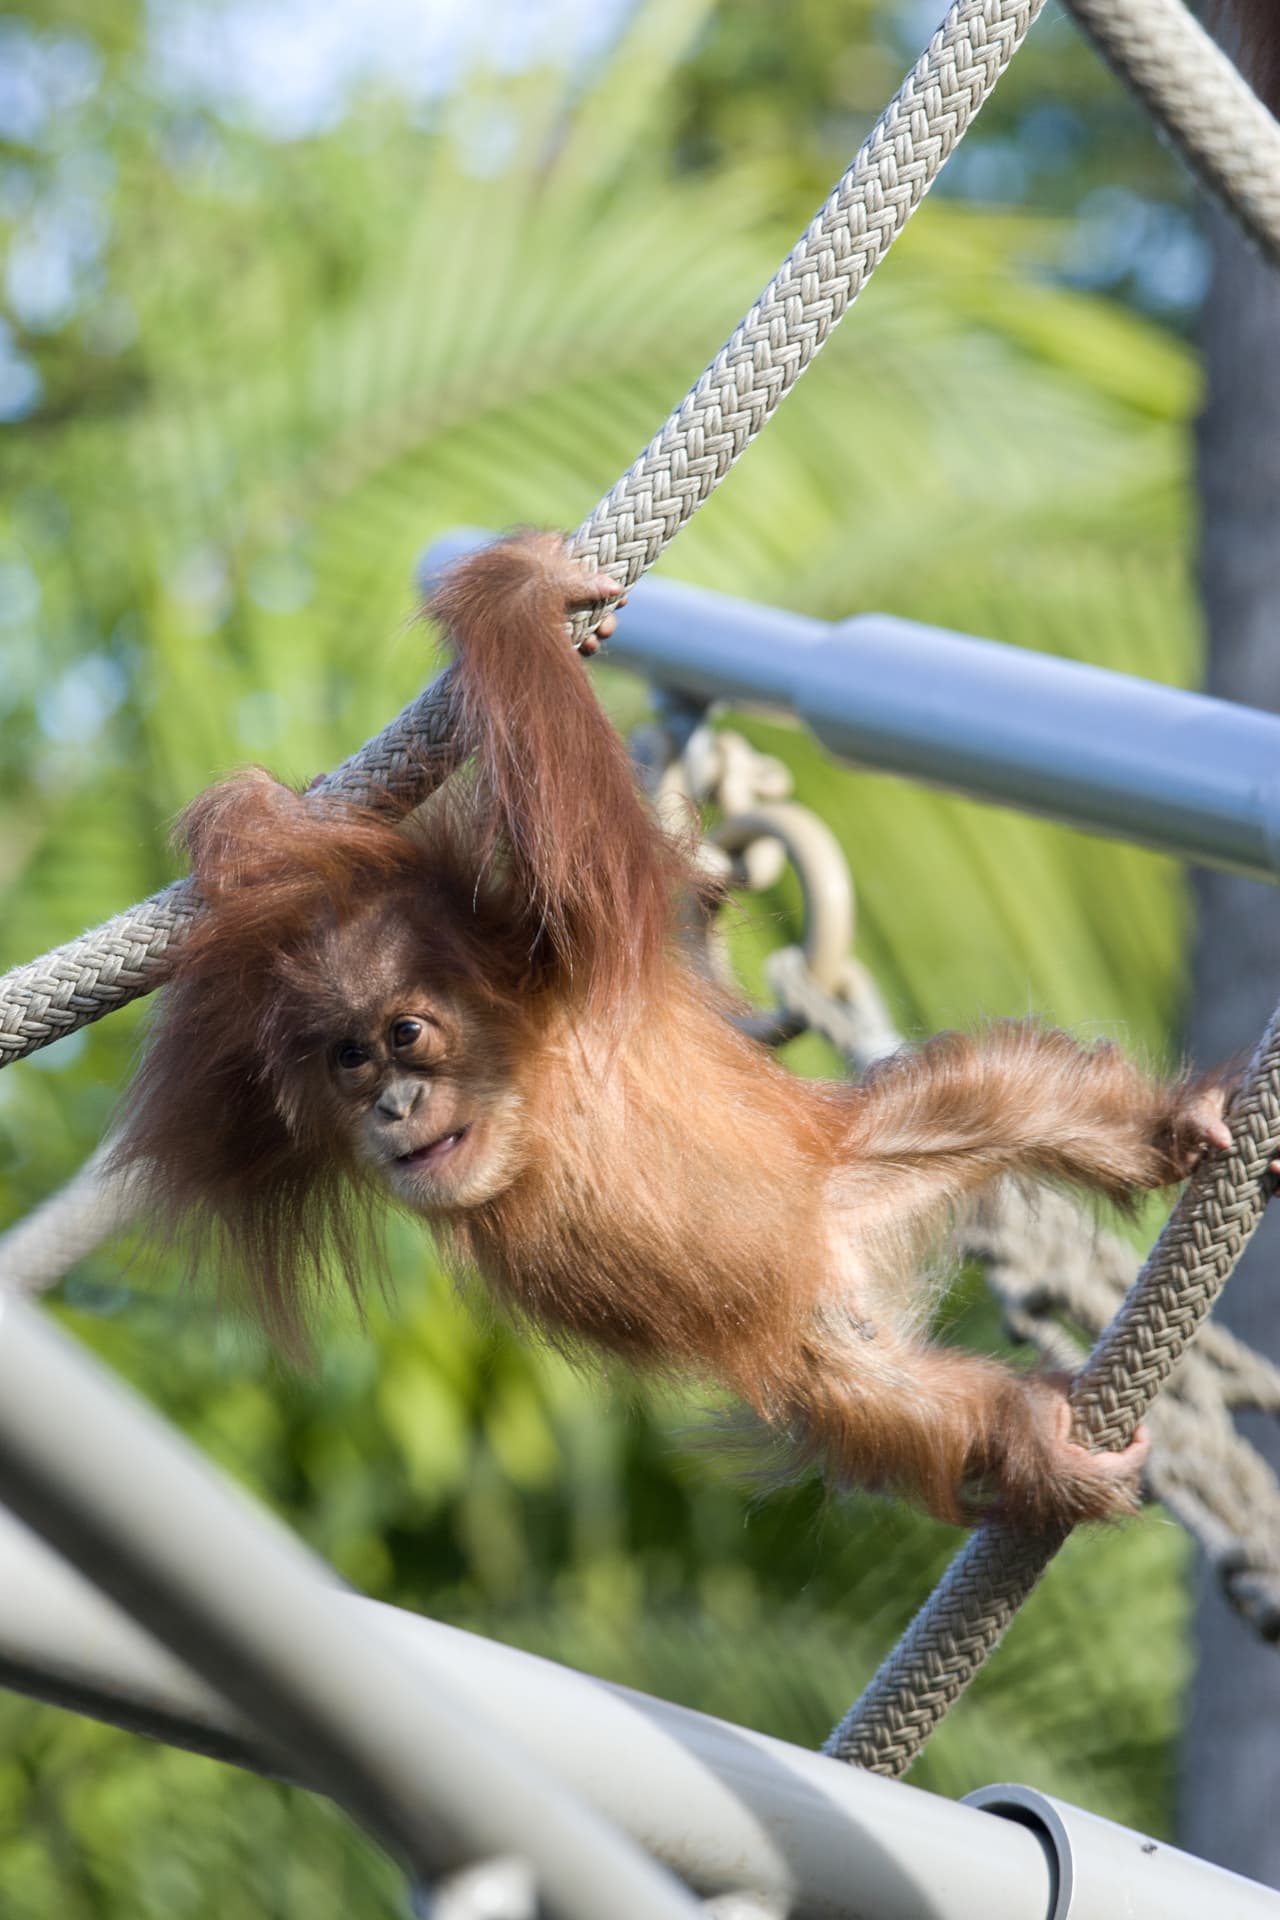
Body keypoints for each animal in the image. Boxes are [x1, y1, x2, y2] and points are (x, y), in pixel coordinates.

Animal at [110, 530, 1244, 1534]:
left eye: (405, 1034)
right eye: (349, 1056)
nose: (391, 1102)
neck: (531, 1088)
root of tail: (845, 1259)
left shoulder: (571, 942)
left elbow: (579, 837)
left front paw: (517, 591)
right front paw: (256, 824)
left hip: (850, 1170)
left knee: (1003, 1094)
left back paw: (1164, 1129)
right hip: (821, 1351)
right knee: (905, 1400)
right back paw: (1029, 1438)